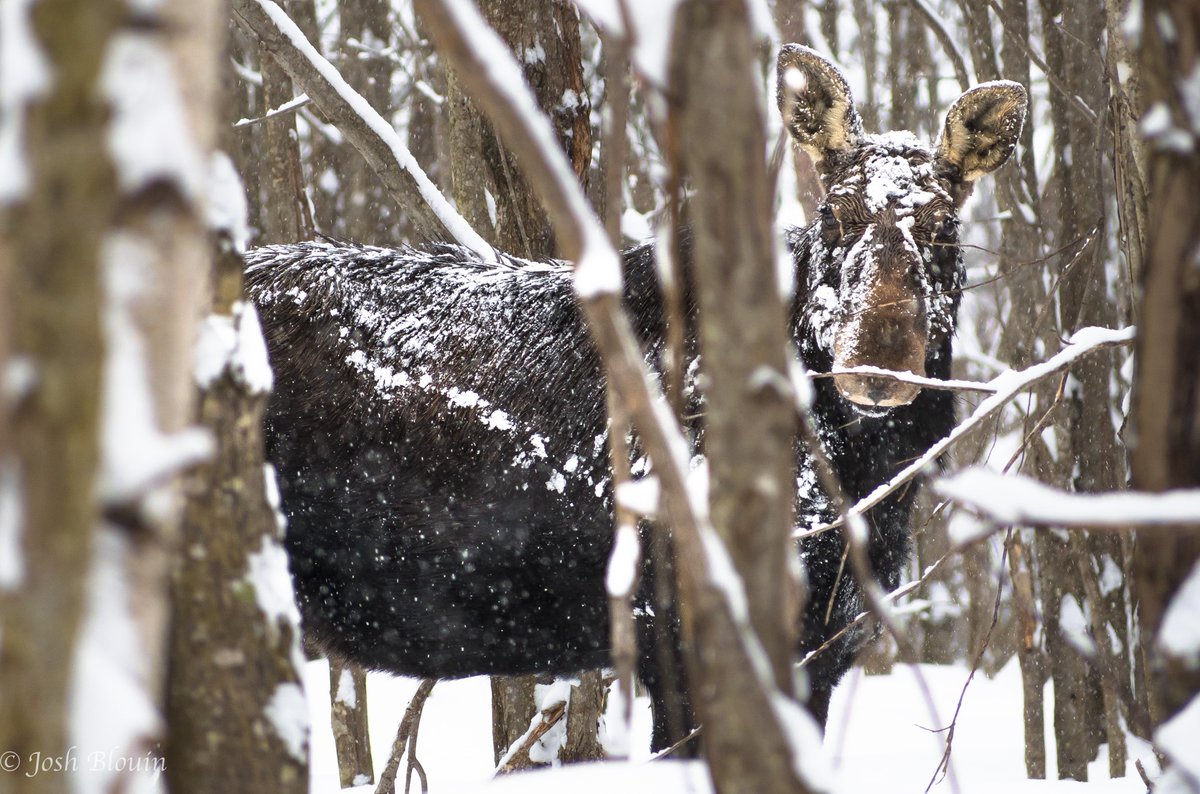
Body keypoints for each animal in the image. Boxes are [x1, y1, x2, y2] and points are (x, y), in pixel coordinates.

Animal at [244, 45, 1027, 752]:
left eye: (946, 227)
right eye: (834, 214)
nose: (877, 365)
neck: (864, 488)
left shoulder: (824, 649)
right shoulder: (682, 641)